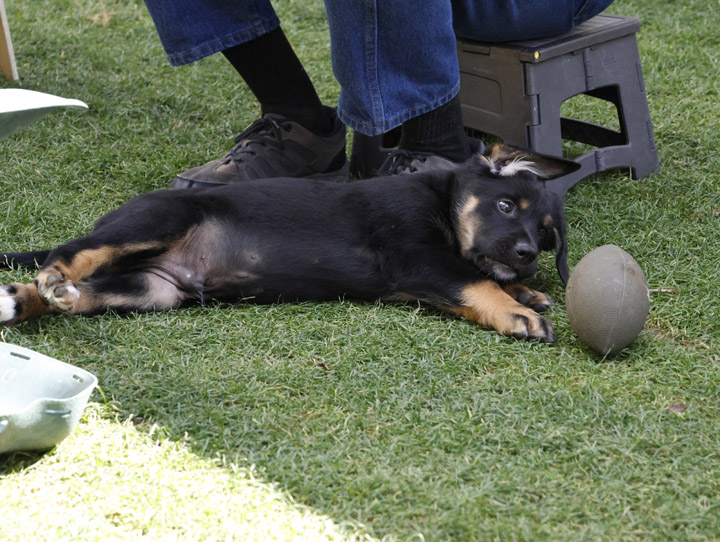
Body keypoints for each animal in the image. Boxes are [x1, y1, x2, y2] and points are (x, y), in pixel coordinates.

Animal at [0, 144, 572, 340]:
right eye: (506, 207)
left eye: (545, 232)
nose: (528, 256)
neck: (441, 200)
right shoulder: (416, 257)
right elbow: (474, 282)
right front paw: (518, 311)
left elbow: (477, 276)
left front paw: (526, 292)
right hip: (159, 219)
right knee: (73, 251)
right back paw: (51, 279)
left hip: (152, 290)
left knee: (81, 292)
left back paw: (21, 301)